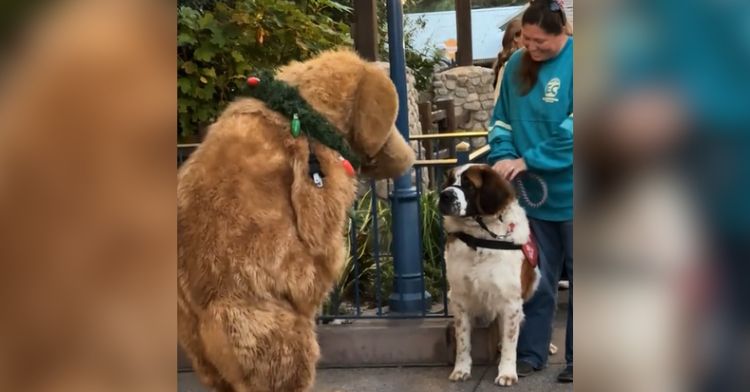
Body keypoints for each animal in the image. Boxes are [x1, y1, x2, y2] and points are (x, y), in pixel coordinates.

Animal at [440, 162, 540, 386]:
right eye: (450, 181)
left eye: (468, 184)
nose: (444, 195)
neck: (479, 238)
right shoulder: (459, 298)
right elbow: (462, 339)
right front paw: (461, 369)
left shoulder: (511, 301)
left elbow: (511, 340)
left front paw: (507, 373)